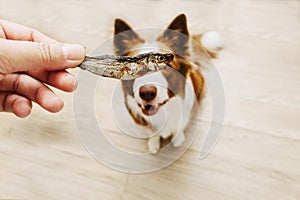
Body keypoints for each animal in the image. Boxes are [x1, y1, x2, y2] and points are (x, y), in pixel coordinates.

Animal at [112, 13, 220, 153]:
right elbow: (153, 133)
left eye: (166, 65)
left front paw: (178, 140)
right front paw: (154, 143)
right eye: (134, 67)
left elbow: (179, 128)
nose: (147, 93)